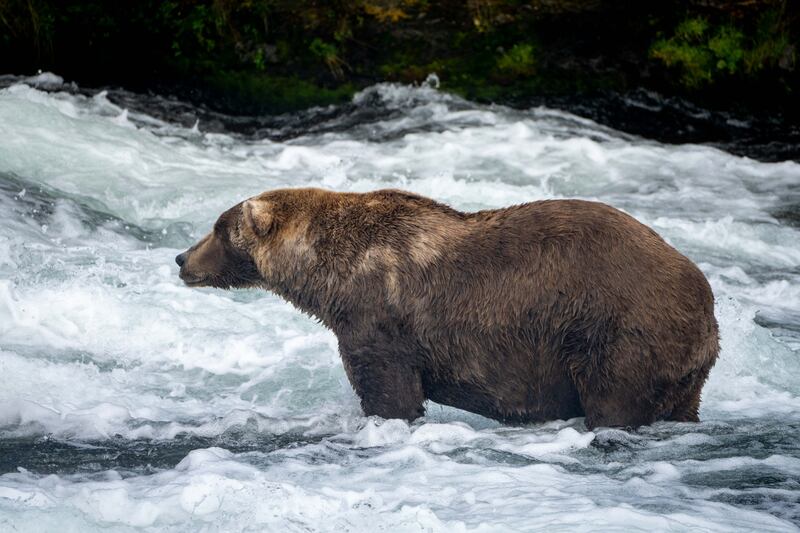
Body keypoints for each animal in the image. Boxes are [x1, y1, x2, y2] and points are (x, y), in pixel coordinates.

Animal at [178, 187, 720, 428]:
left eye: (219, 228)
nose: (182, 258)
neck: (329, 275)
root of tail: (706, 302)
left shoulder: (379, 314)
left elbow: (388, 388)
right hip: (682, 364)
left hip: (618, 328)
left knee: (614, 398)